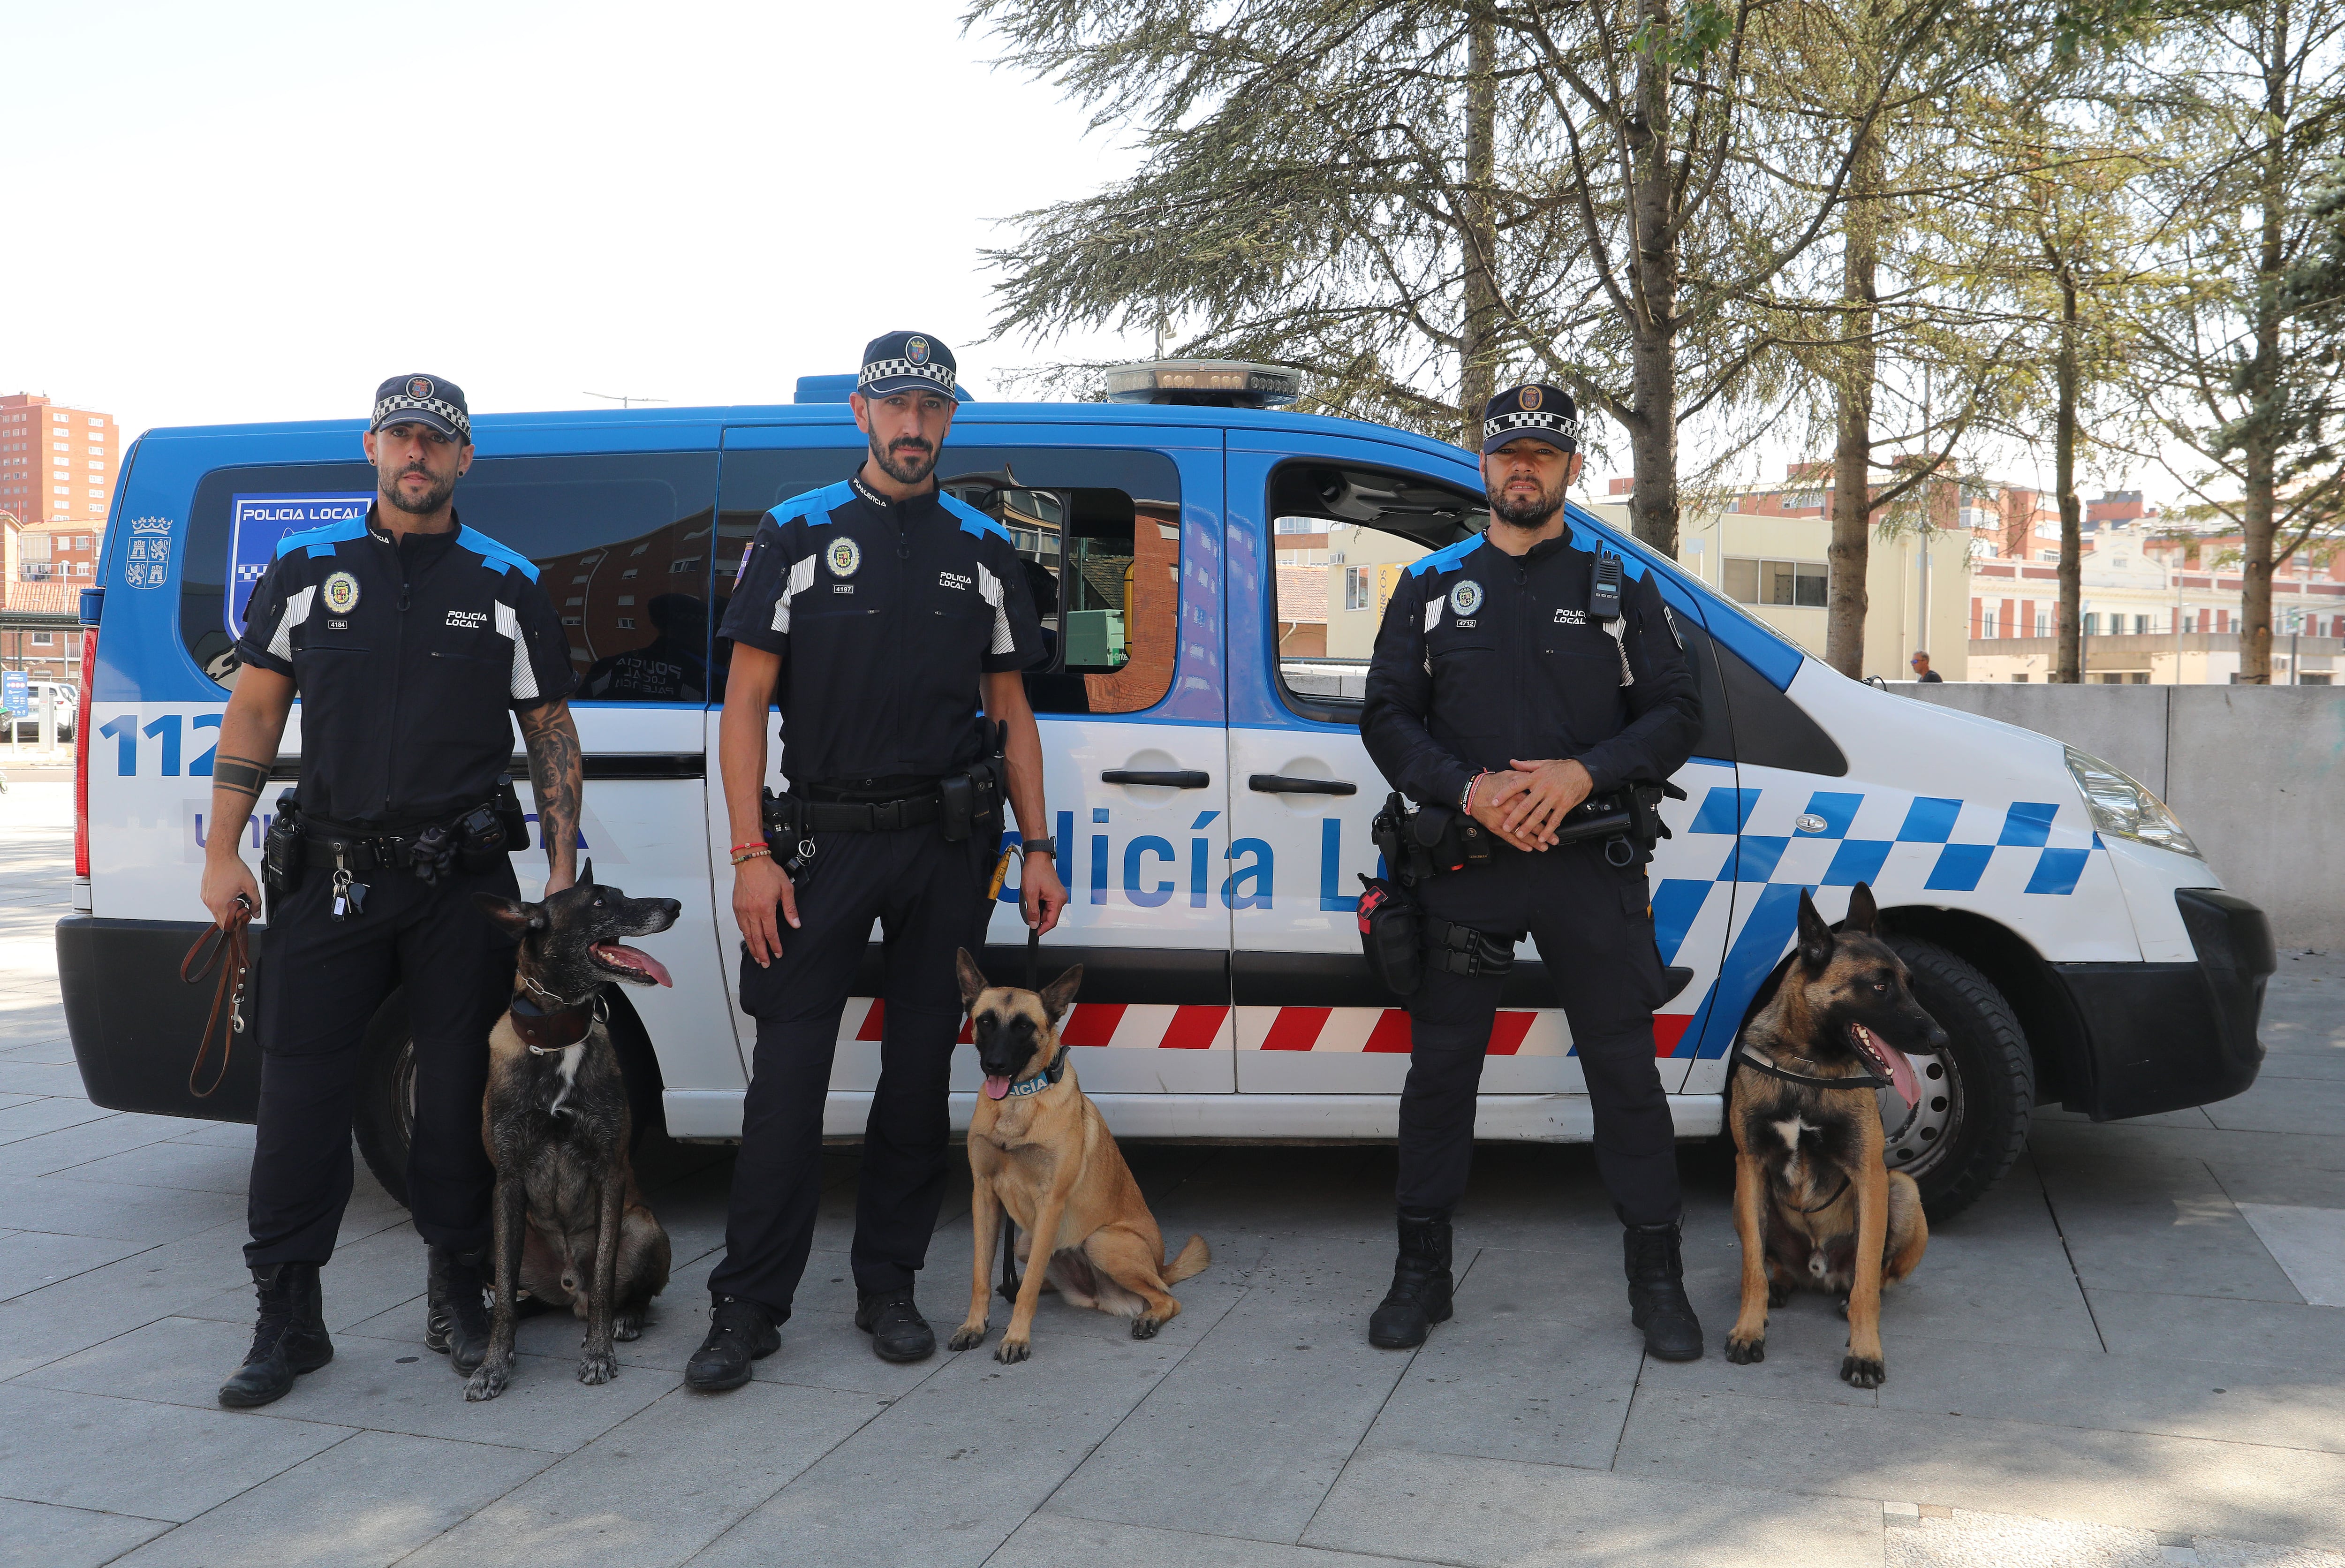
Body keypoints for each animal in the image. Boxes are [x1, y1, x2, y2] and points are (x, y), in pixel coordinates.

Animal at [460, 862, 675, 1397]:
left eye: (621, 894)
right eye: (598, 903)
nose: (675, 905)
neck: (558, 1040)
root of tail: (565, 1288)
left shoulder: (610, 1172)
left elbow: (603, 1280)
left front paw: (599, 1352)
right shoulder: (508, 1181)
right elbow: (505, 1305)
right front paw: (494, 1365)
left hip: (643, 1228)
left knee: (626, 1292)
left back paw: (626, 1318)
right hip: (492, 1234)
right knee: (517, 1293)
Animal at [947, 947, 1210, 1359]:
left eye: (1024, 1026)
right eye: (986, 1021)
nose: (995, 1065)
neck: (1020, 1100)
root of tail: (1159, 1265)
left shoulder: (1050, 1203)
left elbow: (1029, 1287)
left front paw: (1016, 1337)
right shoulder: (985, 1195)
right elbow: (981, 1274)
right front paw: (975, 1325)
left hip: (1100, 1241)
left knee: (1166, 1296)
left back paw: (1150, 1315)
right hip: (1024, 1242)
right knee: (1038, 1276)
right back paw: (1018, 1285)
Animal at [1726, 881, 1942, 1378]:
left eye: (1911, 984)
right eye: (1879, 986)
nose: (1942, 1037)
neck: (1807, 1064)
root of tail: (1818, 1269)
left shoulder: (1869, 1173)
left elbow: (1865, 1281)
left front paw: (1865, 1352)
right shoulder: (1750, 1165)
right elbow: (1750, 1269)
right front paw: (1749, 1329)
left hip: (1901, 1189)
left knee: (1875, 1276)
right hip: (1743, 1197)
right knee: (1770, 1262)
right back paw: (1780, 1282)